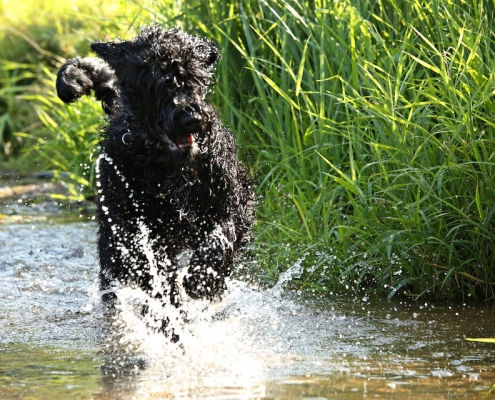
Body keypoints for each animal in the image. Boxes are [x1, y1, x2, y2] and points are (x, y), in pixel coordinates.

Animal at [57, 26, 256, 330]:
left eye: (194, 75)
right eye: (155, 80)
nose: (190, 118)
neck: (173, 172)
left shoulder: (234, 201)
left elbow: (221, 236)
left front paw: (204, 281)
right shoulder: (138, 232)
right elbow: (159, 276)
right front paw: (170, 314)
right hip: (111, 238)